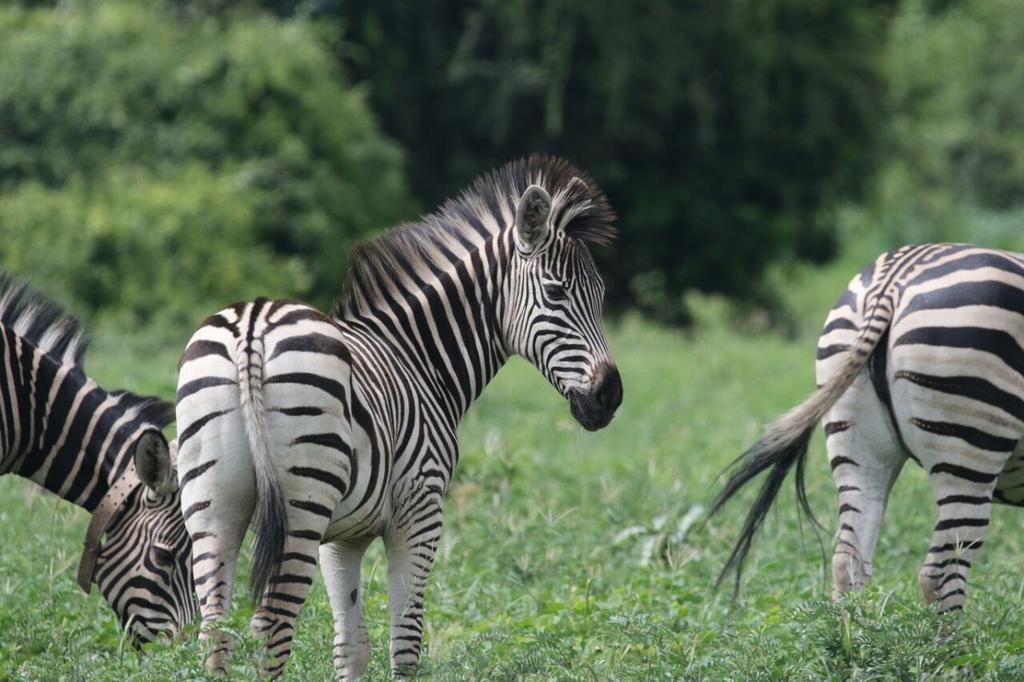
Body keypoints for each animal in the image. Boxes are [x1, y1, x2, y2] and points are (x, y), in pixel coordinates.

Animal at [174, 156, 622, 675]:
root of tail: (252, 326)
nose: (610, 396)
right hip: (301, 503)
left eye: (602, 294)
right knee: (272, 624)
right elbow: (405, 643)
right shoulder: (420, 511)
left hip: (212, 501)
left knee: (215, 631)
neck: (418, 357)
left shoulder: (341, 538)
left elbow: (352, 644)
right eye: (555, 292)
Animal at [708, 242, 1024, 610]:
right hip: (970, 446)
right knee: (940, 572)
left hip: (855, 439)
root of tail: (893, 280)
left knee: (848, 560)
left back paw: (855, 628)